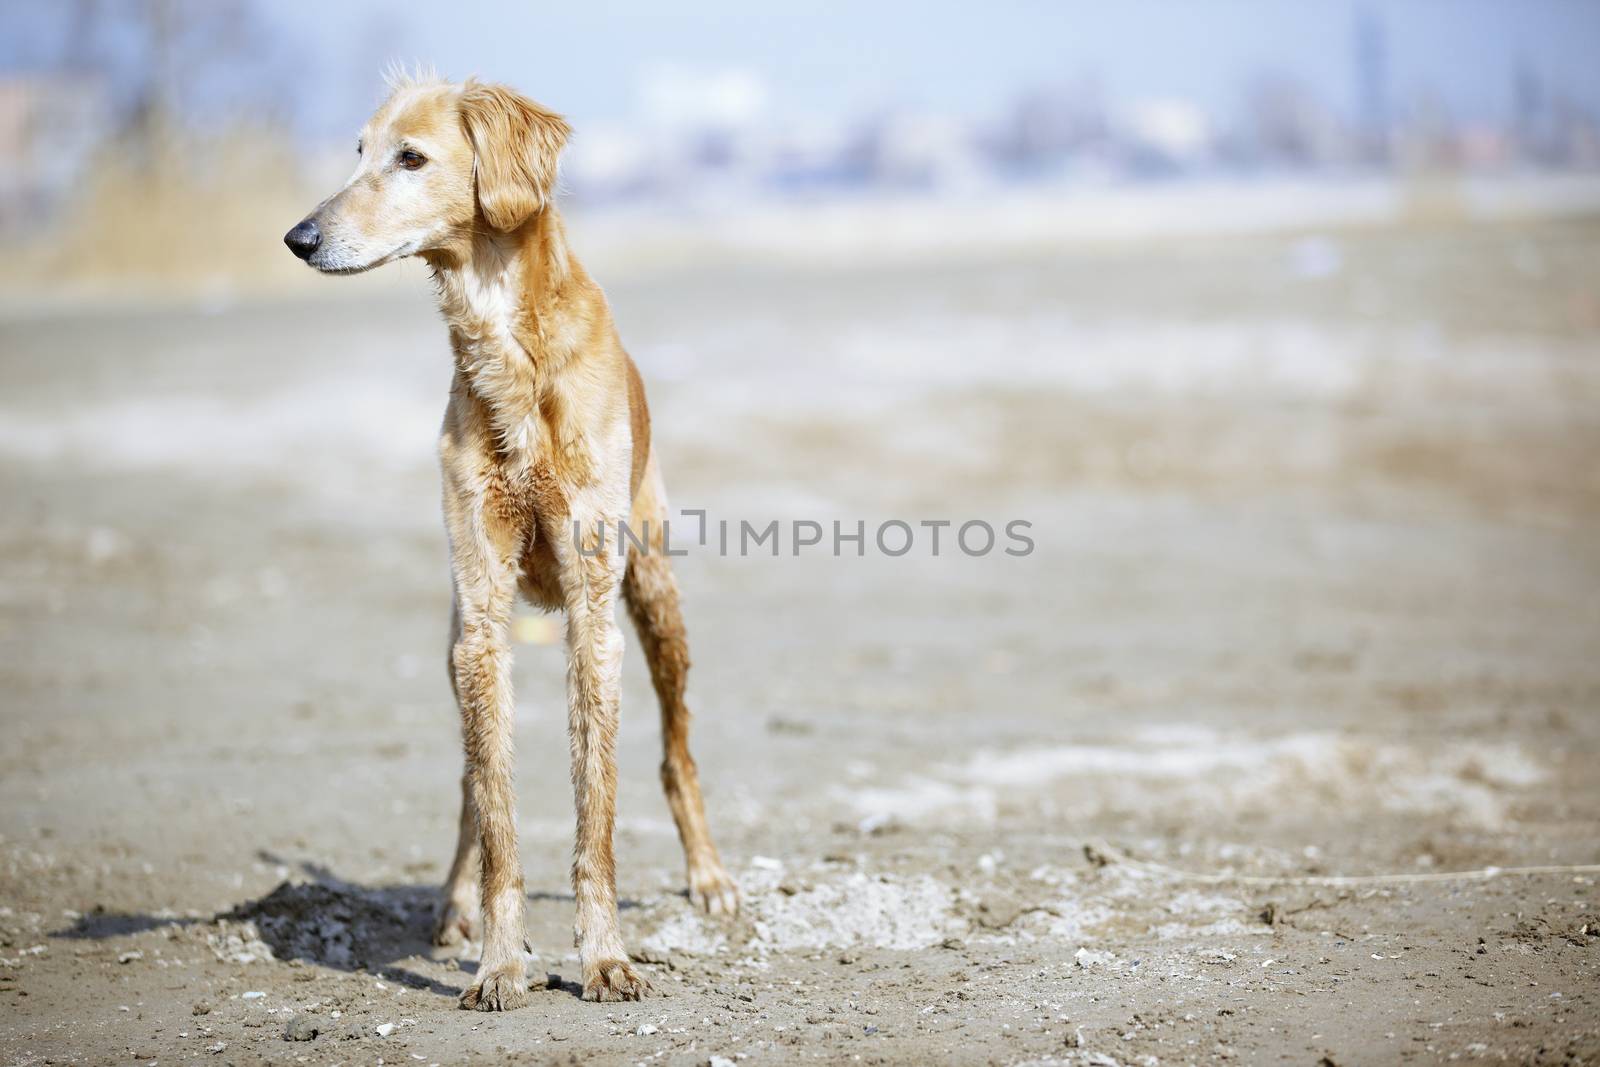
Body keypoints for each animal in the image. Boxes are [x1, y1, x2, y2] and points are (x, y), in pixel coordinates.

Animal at [286, 75, 736, 1011]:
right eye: (358, 152)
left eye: (411, 157)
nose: (298, 236)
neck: (505, 344)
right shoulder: (484, 615)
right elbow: (495, 809)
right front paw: (498, 959)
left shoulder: (594, 616)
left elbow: (597, 813)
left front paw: (605, 957)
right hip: (457, 637)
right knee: (467, 781)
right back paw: (454, 903)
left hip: (657, 601)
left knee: (678, 753)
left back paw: (710, 876)